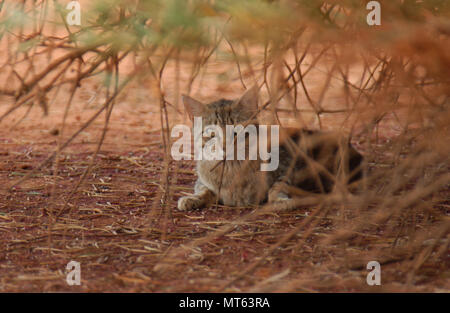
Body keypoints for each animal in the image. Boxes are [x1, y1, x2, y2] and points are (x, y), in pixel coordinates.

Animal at [176, 86, 362, 210]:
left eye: (237, 132)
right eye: (212, 134)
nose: (225, 147)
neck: (231, 167)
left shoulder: (288, 165)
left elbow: (278, 186)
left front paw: (280, 200)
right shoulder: (203, 182)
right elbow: (203, 189)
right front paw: (192, 198)